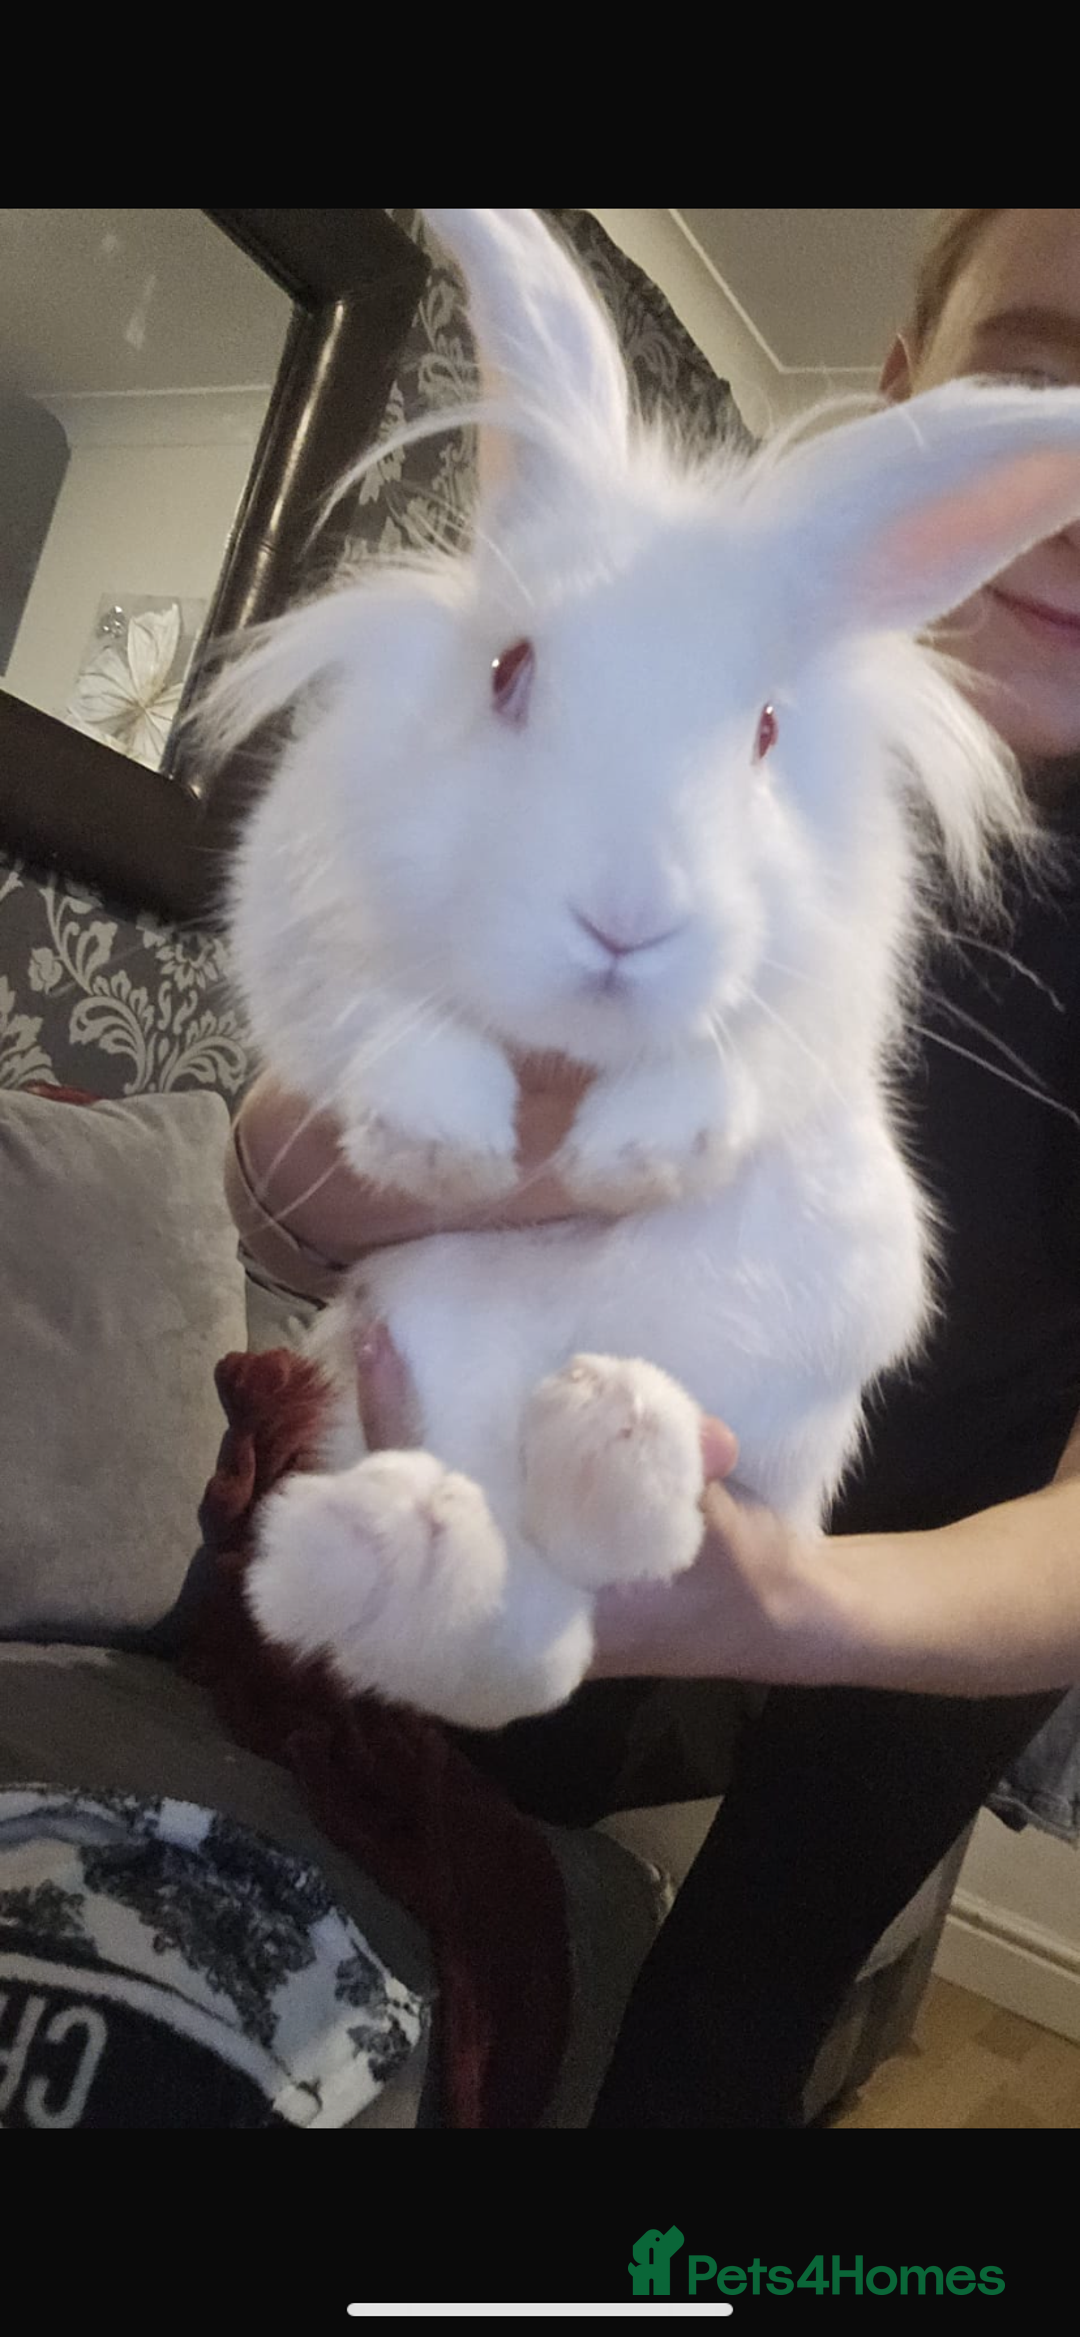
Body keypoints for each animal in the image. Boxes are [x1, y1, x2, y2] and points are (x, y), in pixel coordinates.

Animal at [213, 208, 1080, 1731]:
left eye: (768, 730)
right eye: (509, 669)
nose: (626, 918)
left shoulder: (823, 1003)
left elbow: (737, 1063)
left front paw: (638, 1155)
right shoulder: (298, 909)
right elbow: (380, 1017)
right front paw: (442, 1143)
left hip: (779, 1406)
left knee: (597, 1583)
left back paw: (605, 1437)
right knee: (477, 1633)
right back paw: (393, 1539)